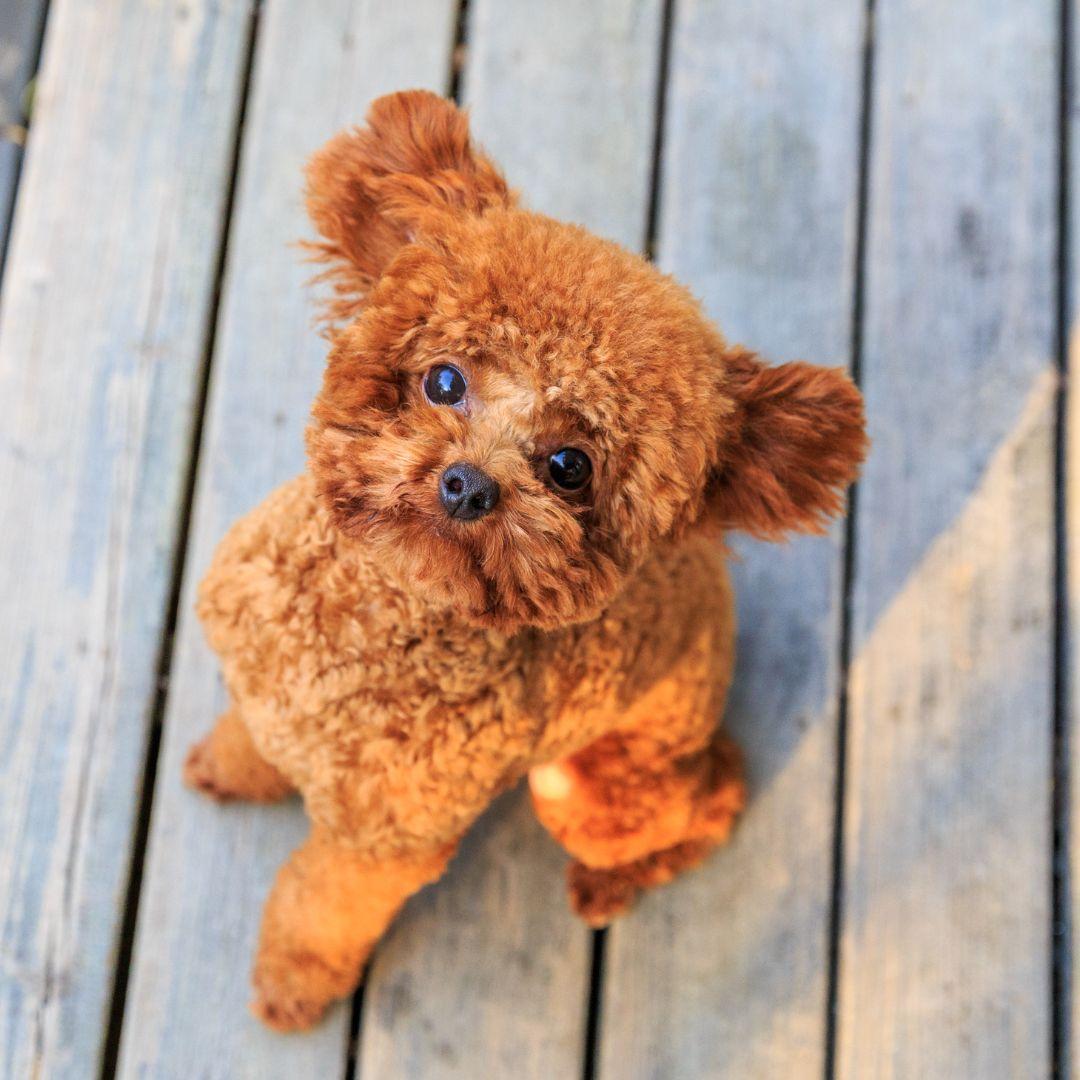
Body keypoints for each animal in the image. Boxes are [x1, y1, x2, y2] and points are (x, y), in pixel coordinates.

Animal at [181, 90, 864, 1028]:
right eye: (443, 381)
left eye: (570, 467)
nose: (469, 484)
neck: (370, 626)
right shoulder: (260, 687)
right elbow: (248, 739)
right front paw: (229, 768)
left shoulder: (381, 847)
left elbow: (317, 911)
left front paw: (289, 990)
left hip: (582, 788)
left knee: (713, 799)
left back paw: (613, 885)